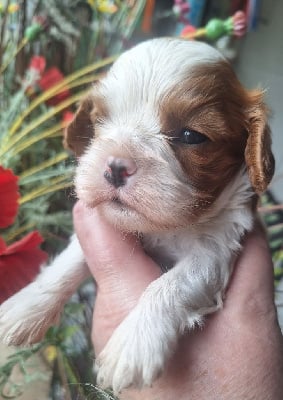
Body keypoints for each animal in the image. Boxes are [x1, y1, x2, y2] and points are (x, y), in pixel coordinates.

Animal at [0, 38, 276, 394]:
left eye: (191, 136)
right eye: (101, 122)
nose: (116, 166)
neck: (164, 228)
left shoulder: (216, 251)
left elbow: (172, 284)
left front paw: (134, 344)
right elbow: (68, 261)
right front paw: (27, 306)